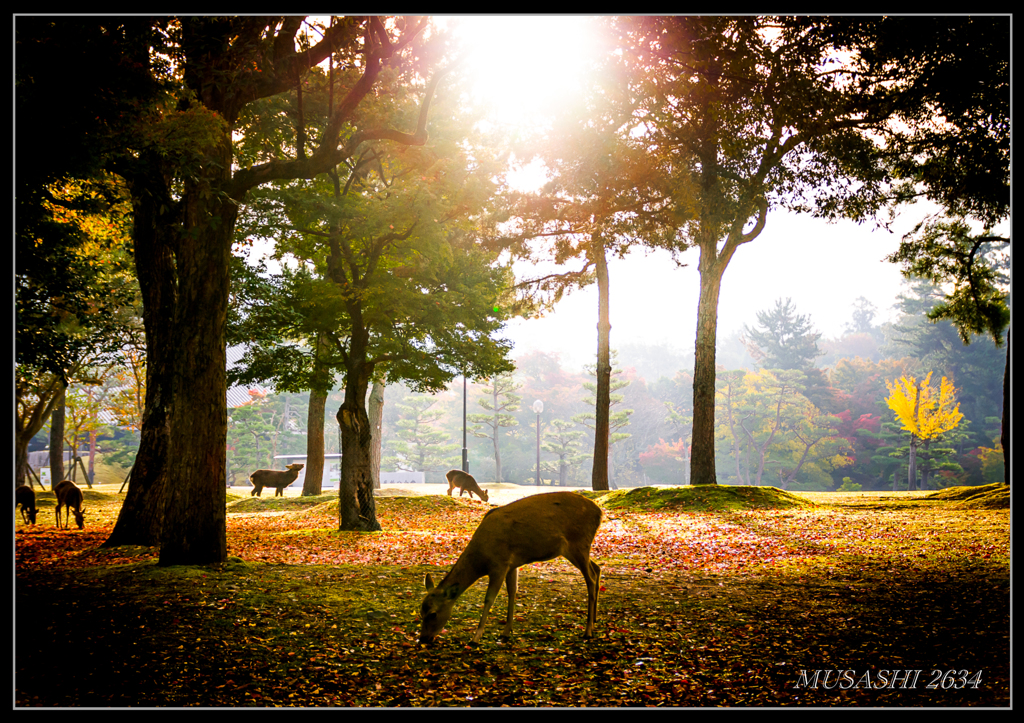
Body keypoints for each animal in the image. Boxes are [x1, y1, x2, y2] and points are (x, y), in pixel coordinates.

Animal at [419, 489, 602, 643]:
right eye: (421, 611)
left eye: (433, 614)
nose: (423, 639)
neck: (481, 559)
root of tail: (599, 513)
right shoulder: (512, 565)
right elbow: (512, 592)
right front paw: (506, 632)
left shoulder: (499, 564)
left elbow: (489, 599)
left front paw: (476, 637)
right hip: (577, 550)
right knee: (597, 568)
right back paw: (594, 621)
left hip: (579, 543)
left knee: (591, 578)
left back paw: (588, 631)